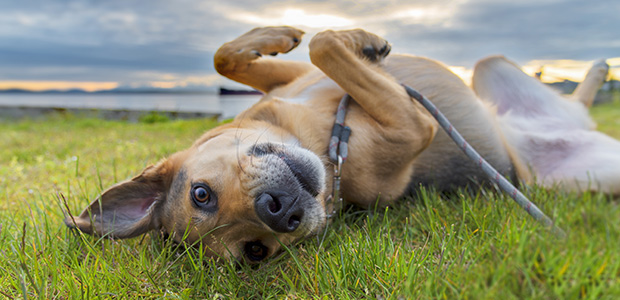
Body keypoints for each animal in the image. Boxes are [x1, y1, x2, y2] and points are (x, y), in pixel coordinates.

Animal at [64, 27, 620, 262]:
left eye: (201, 193)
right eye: (256, 252)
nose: (278, 211)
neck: (317, 135)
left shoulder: (293, 79)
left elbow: (238, 56)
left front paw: (290, 32)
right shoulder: (413, 125)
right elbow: (326, 46)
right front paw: (356, 40)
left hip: (489, 67)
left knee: (574, 99)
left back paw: (596, 71)